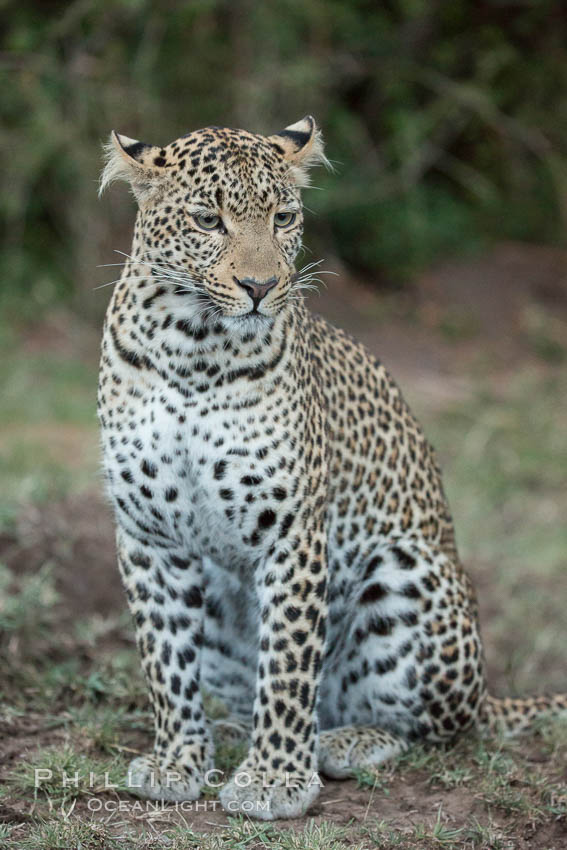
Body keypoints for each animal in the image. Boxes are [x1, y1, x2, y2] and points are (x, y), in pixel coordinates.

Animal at [98, 116, 567, 820]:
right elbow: (165, 659)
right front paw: (178, 760)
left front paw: (274, 780)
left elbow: (288, 666)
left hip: (408, 572)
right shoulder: (148, 534)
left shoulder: (291, 529)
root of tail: (487, 695)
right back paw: (229, 731)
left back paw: (342, 741)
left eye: (284, 217)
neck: (193, 349)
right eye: (209, 221)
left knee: (429, 729)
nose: (261, 288)